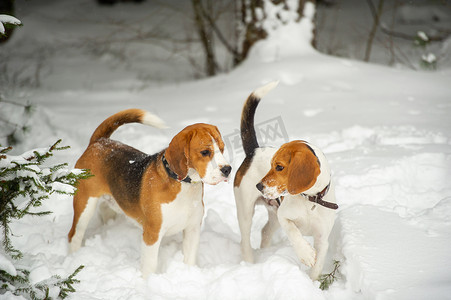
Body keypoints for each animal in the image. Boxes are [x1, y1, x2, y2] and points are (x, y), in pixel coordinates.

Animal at [68, 109, 231, 278]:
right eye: (205, 152)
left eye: (222, 148)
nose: (228, 169)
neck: (184, 186)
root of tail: (99, 142)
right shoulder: (152, 234)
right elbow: (150, 265)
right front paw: (147, 281)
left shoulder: (192, 229)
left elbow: (189, 259)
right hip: (85, 205)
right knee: (74, 235)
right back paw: (74, 258)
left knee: (105, 209)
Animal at [235, 83, 338, 280]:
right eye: (271, 165)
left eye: (279, 167)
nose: (259, 186)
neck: (309, 200)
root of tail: (253, 150)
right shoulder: (284, 217)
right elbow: (294, 233)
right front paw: (305, 253)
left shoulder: (322, 239)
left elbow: (317, 268)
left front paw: (312, 283)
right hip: (245, 211)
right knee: (244, 241)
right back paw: (250, 263)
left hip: (273, 213)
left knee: (265, 231)